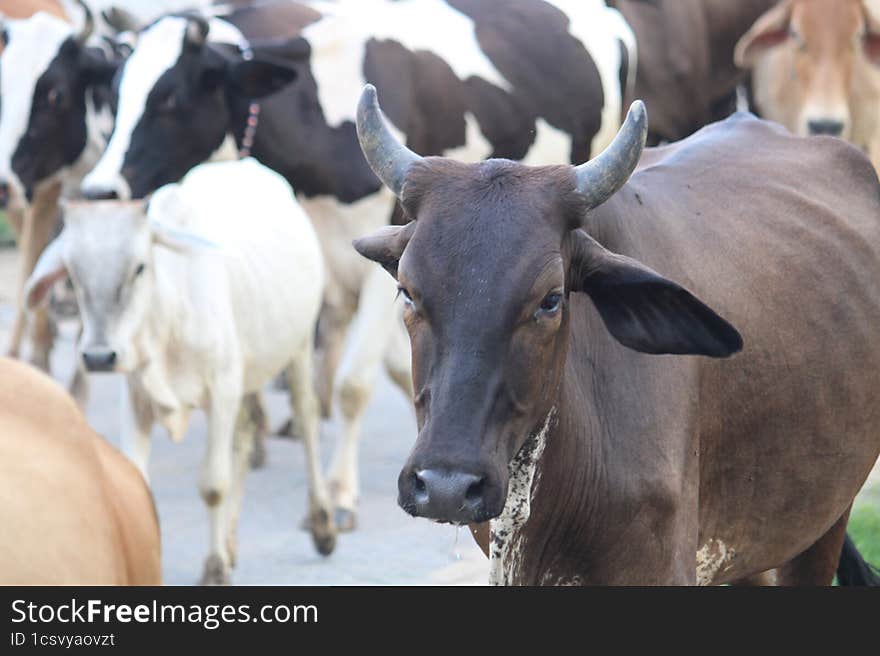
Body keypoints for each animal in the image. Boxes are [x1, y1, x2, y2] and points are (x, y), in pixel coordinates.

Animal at [24, 158, 336, 584]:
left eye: (139, 267)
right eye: (73, 273)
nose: (99, 357)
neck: (166, 317)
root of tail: (246, 162)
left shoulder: (221, 391)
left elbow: (214, 485)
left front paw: (215, 568)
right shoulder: (137, 397)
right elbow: (137, 478)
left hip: (299, 345)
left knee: (306, 419)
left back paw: (321, 524)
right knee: (245, 433)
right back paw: (232, 542)